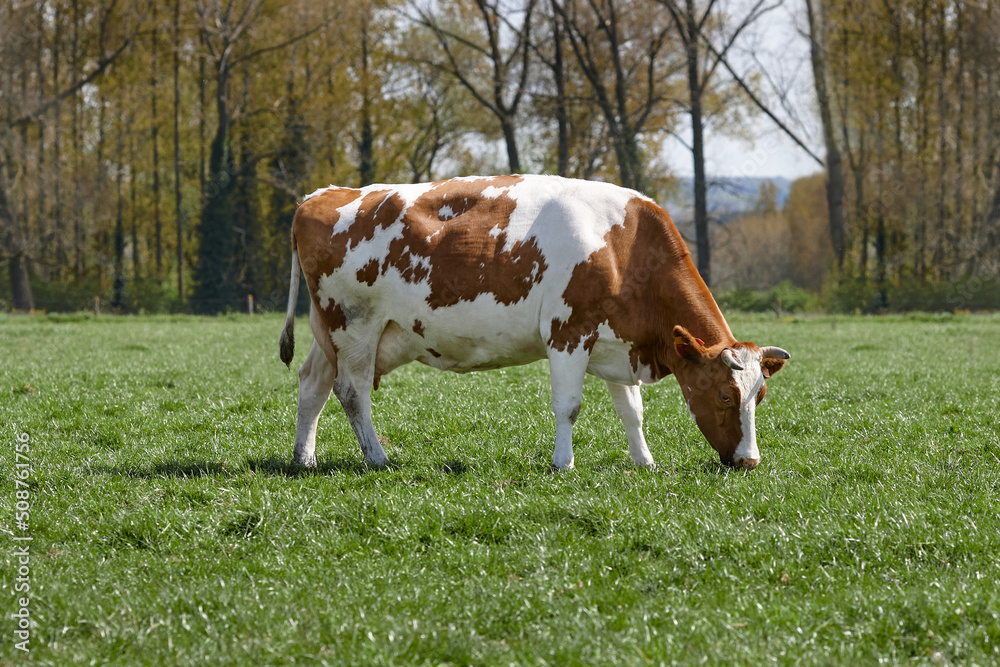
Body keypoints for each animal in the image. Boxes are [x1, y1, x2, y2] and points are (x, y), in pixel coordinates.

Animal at [276, 175, 788, 472]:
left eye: (759, 396)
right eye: (725, 395)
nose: (749, 461)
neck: (622, 247)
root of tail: (322, 195)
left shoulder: (616, 342)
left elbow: (632, 411)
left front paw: (644, 462)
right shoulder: (568, 333)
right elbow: (569, 406)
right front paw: (564, 463)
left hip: (331, 333)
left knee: (312, 384)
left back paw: (305, 458)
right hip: (355, 325)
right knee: (352, 391)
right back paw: (377, 457)